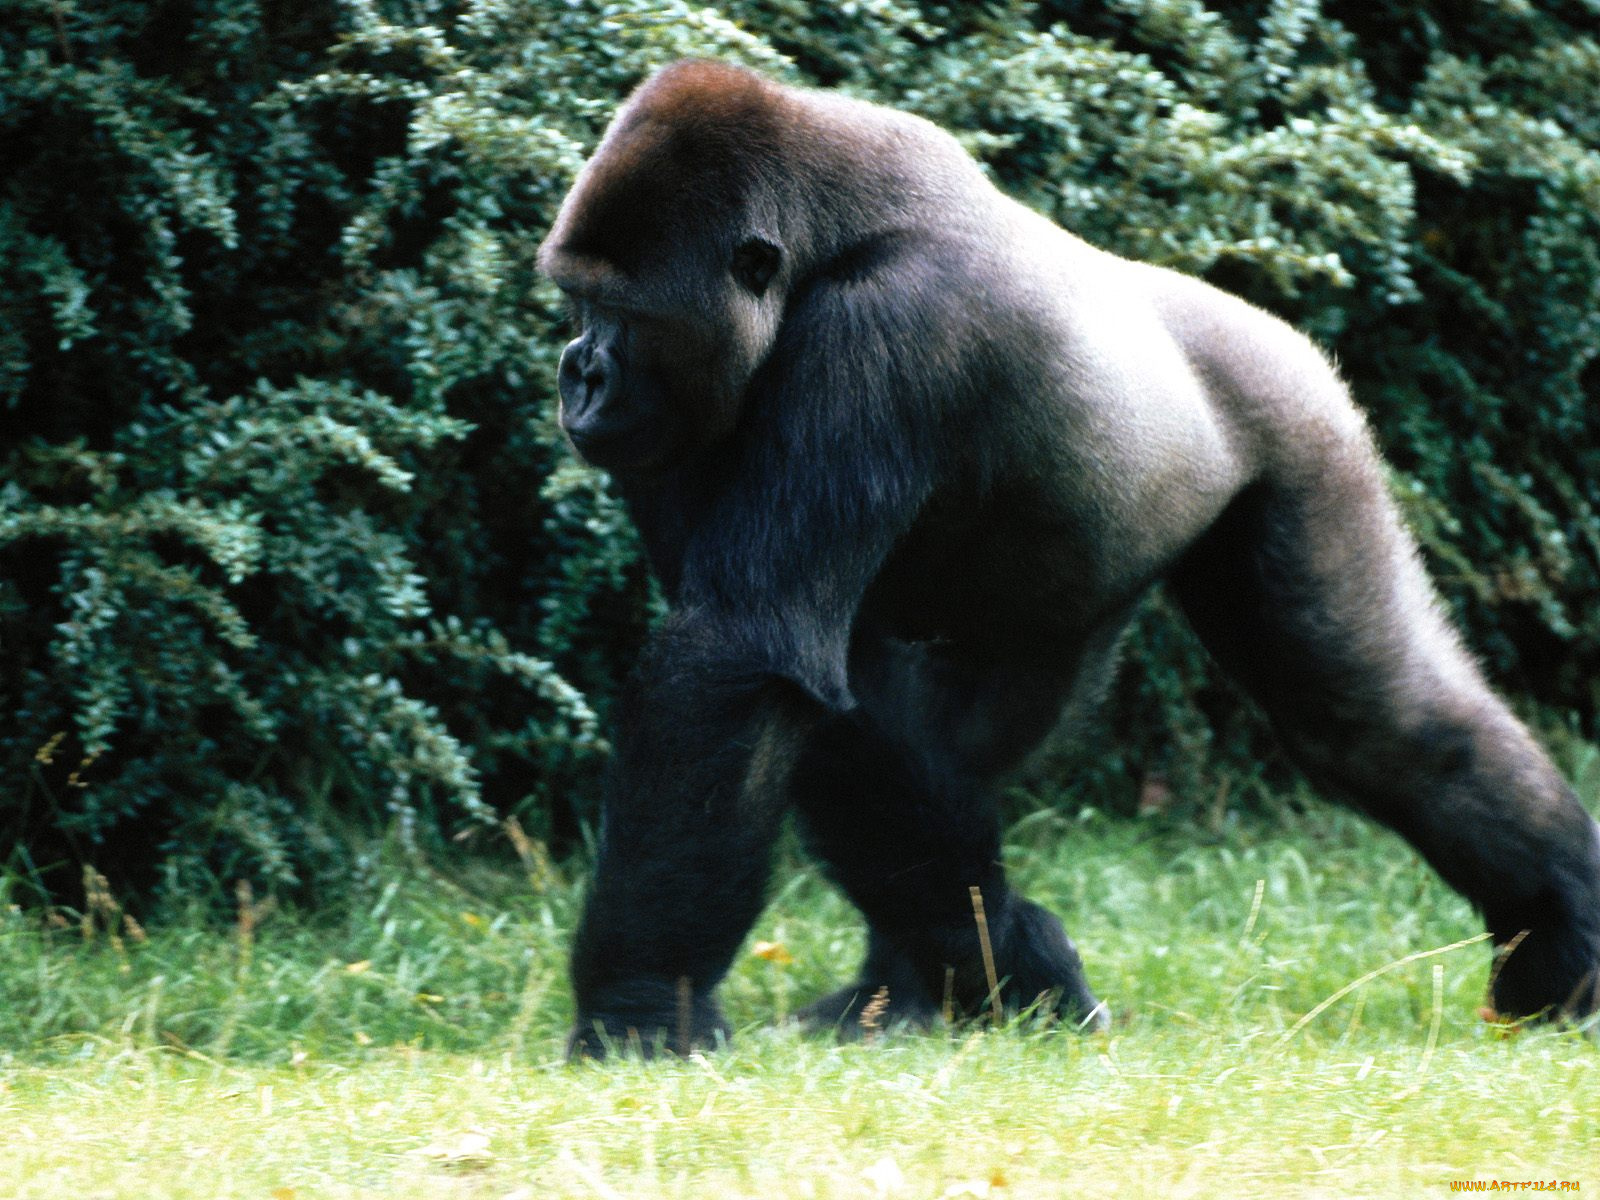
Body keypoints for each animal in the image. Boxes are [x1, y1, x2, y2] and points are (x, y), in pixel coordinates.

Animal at [536, 59, 1600, 1056]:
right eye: (576, 302)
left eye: (620, 311)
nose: (580, 374)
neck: (827, 242)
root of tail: (1255, 323)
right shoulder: (681, 415)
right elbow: (823, 705)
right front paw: (1013, 956)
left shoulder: (882, 328)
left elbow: (743, 654)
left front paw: (639, 1006)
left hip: (1301, 419)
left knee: (1374, 716)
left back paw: (1561, 935)